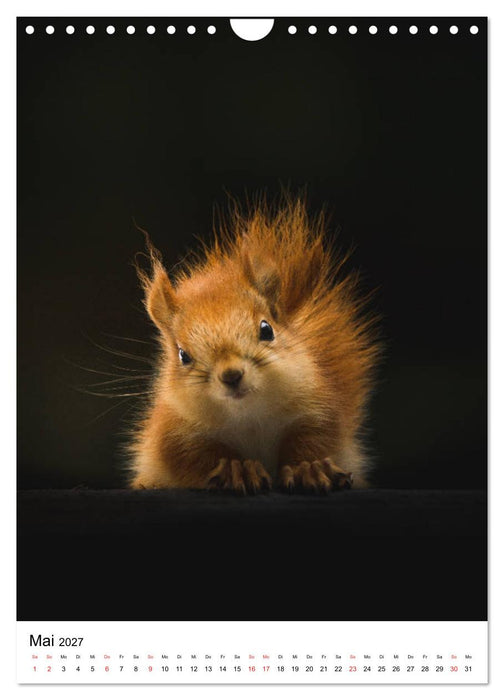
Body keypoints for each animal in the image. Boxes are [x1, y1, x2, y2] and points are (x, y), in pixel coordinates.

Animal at [128, 196, 380, 494]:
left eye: (266, 329)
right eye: (183, 355)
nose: (231, 375)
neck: (248, 416)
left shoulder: (318, 408)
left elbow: (315, 439)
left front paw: (309, 467)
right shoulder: (174, 431)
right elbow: (195, 456)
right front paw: (237, 469)